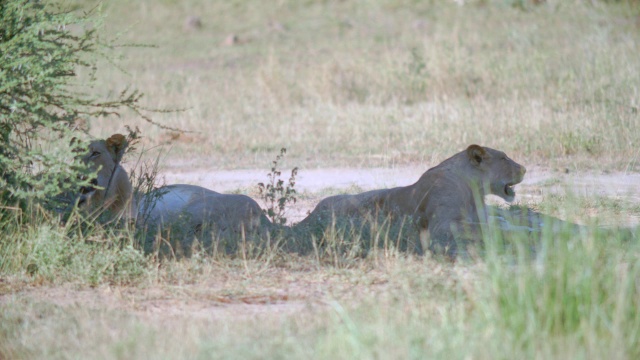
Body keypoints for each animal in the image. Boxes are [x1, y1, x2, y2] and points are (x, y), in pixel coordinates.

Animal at [298, 143, 528, 258]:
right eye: (504, 158)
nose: (525, 169)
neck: (475, 191)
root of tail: (310, 215)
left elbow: (500, 222)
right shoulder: (442, 226)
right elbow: (489, 229)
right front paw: (522, 234)